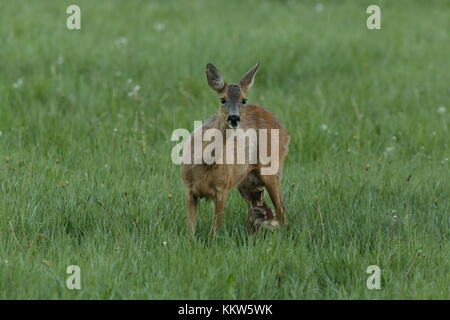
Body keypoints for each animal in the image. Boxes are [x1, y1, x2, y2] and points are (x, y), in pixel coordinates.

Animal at [181, 63, 290, 238]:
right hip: (246, 183)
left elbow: (214, 231)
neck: (204, 164)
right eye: (222, 99)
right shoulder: (188, 189)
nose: (234, 118)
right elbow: (190, 231)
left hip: (272, 170)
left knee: (281, 210)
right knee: (258, 209)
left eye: (243, 99)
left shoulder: (221, 189)